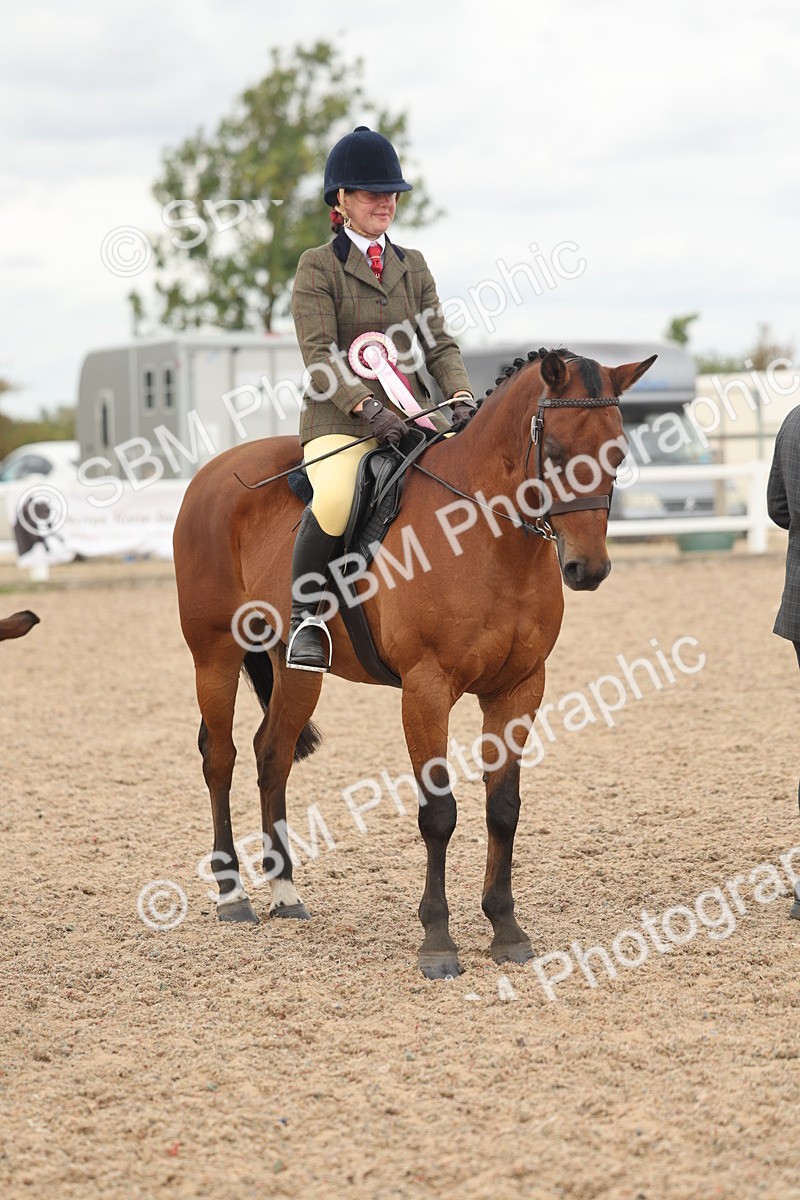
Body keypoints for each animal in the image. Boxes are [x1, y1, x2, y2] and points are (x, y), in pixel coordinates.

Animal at [173, 347, 656, 978]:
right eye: (553, 451)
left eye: (617, 452)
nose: (588, 569)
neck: (487, 535)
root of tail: (212, 473)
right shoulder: (426, 690)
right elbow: (439, 813)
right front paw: (438, 941)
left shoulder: (520, 688)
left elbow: (503, 807)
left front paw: (506, 929)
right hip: (215, 653)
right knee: (221, 757)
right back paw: (232, 895)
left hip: (295, 667)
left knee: (271, 755)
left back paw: (285, 894)